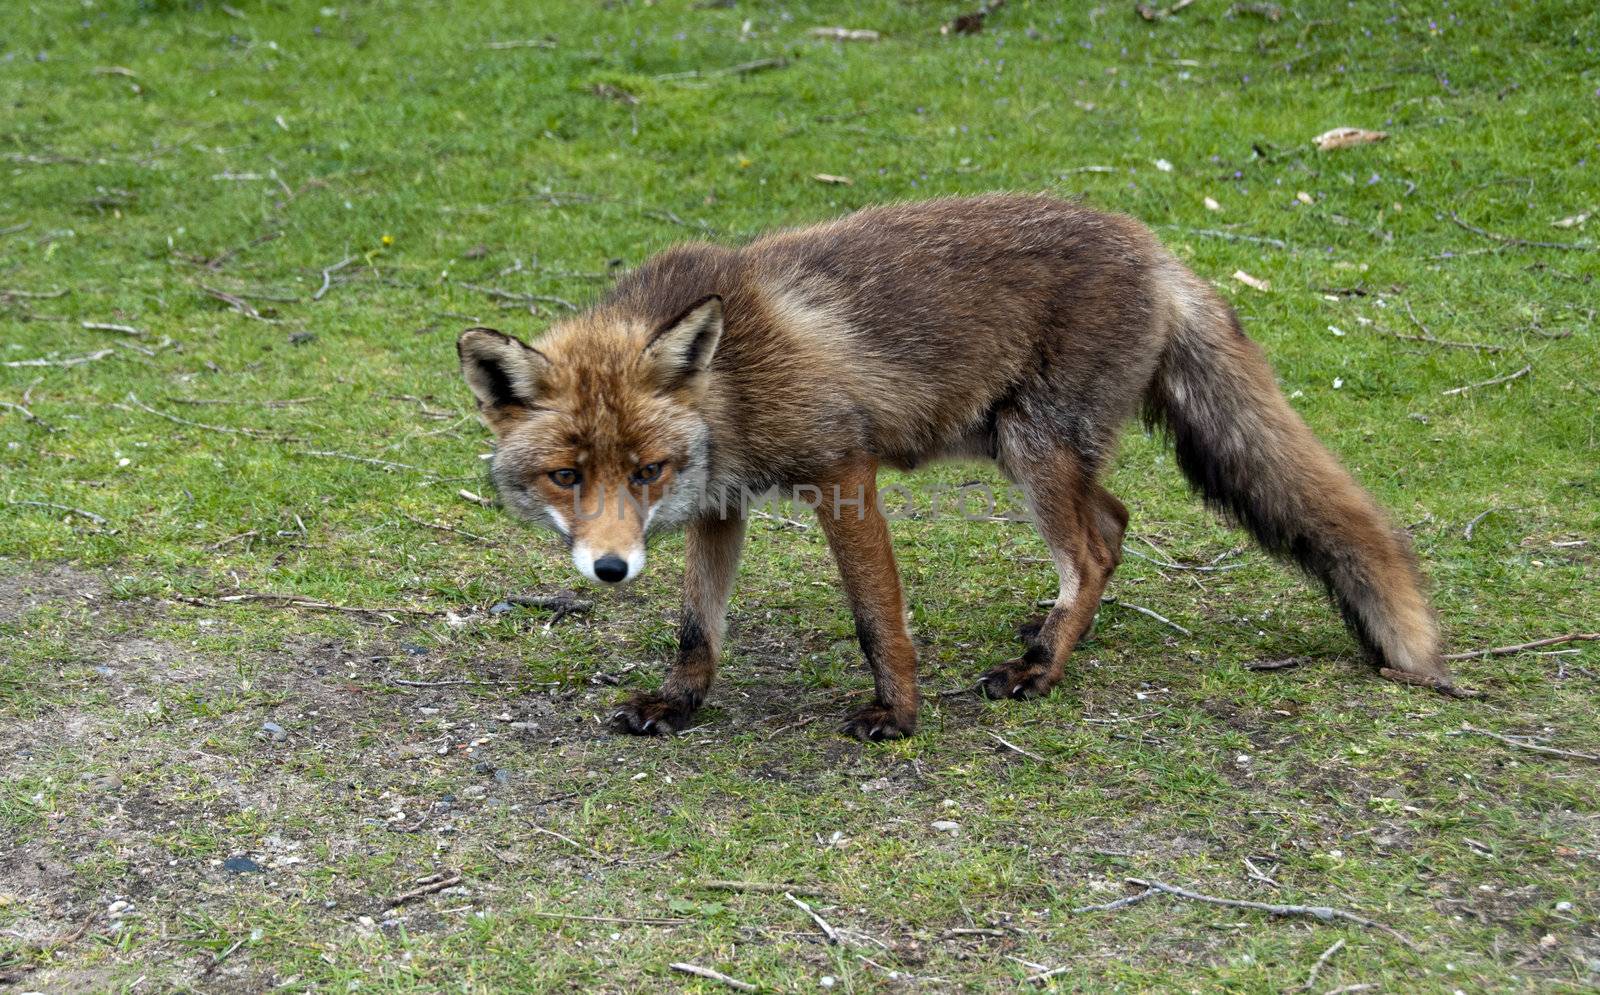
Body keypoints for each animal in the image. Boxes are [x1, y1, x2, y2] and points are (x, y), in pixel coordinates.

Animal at [457, 195, 1459, 742]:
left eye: (646, 469)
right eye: (566, 476)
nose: (610, 567)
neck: (731, 381)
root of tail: (1156, 248)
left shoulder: (843, 469)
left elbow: (877, 618)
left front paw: (897, 717)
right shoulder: (722, 501)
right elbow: (698, 627)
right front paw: (678, 704)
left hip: (1029, 446)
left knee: (1093, 546)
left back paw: (1040, 669)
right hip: (1026, 445)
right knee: (1116, 520)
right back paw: (1053, 631)